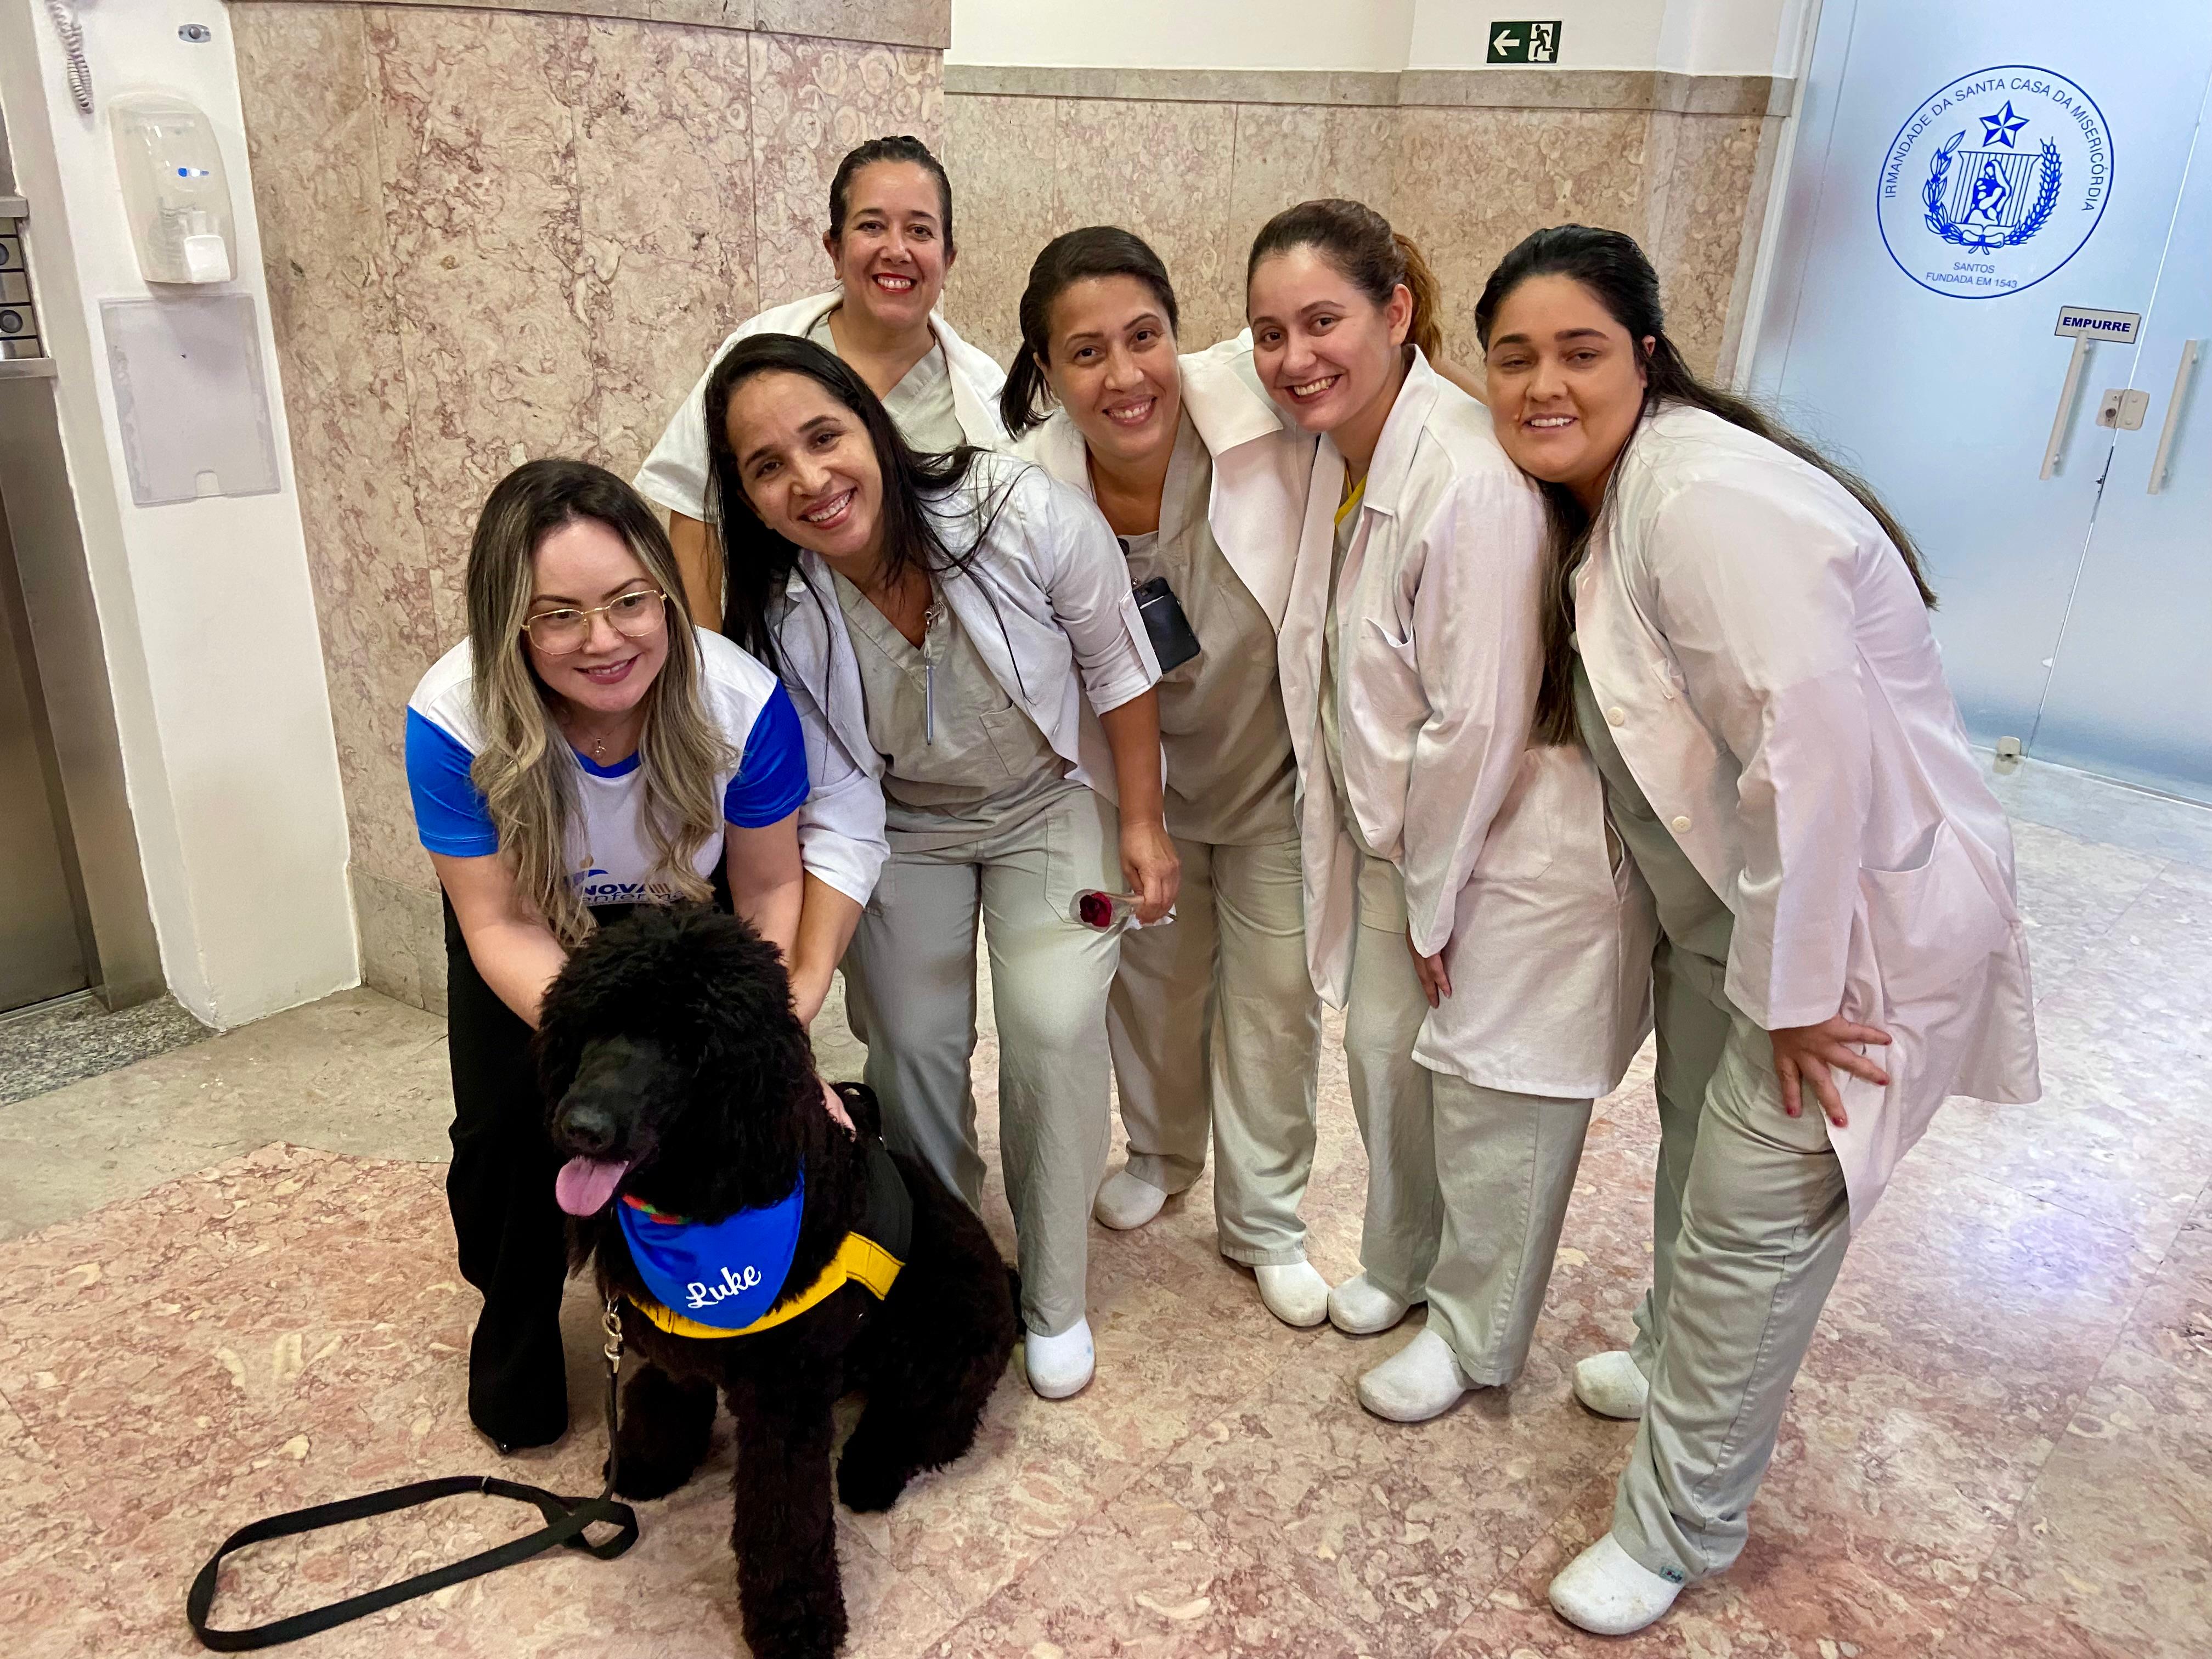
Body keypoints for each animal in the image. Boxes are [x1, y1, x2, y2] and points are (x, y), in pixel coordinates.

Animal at [538, 906, 1018, 1659]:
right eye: (595, 1022)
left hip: (944, 1340)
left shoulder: (784, 1399)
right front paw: (649, 1463)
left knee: (931, 1425)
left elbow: (785, 1522)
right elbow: (667, 1397)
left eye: (687, 1046)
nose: (581, 1128)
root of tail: (1009, 1286)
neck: (705, 1203)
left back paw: (870, 1470)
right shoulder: (677, 1350)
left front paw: (795, 1622)